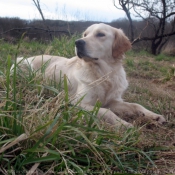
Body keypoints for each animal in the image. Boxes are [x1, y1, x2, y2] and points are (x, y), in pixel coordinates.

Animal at [12, 22, 165, 127]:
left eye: (100, 34)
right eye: (85, 34)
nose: (77, 42)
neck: (104, 74)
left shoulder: (113, 101)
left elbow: (135, 105)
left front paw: (154, 115)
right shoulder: (77, 102)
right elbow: (105, 111)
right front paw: (123, 124)